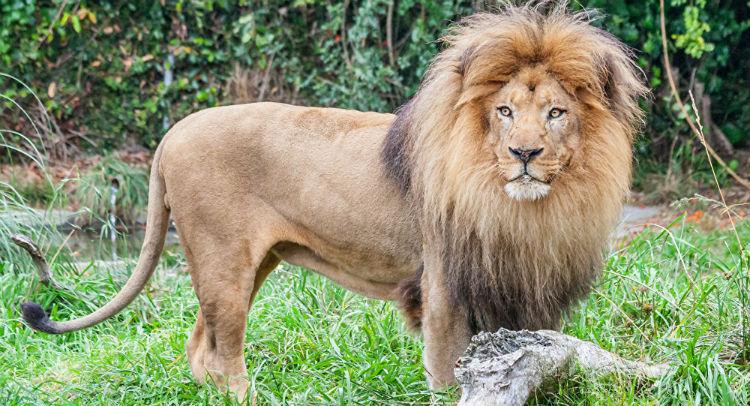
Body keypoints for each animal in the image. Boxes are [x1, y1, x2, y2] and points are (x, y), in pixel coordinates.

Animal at [20, 2, 648, 400]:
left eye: (556, 112)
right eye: (505, 111)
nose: (524, 152)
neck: (525, 206)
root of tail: (171, 133)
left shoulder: (525, 288)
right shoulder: (444, 285)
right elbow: (448, 373)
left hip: (250, 263)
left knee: (201, 348)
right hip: (224, 260)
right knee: (221, 354)